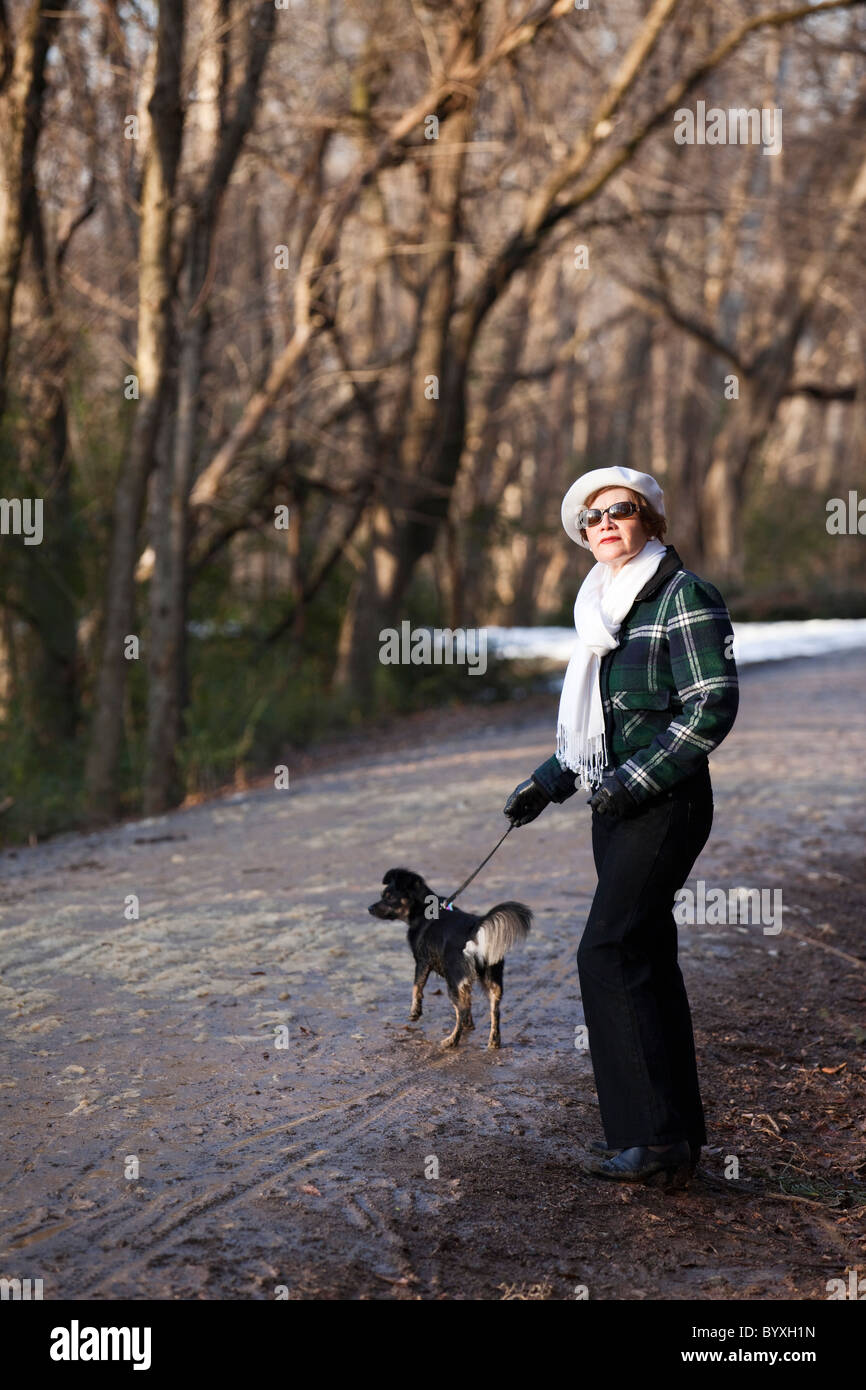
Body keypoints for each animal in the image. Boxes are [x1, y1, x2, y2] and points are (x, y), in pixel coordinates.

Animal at [366, 861, 530, 1045]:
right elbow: (469, 1002)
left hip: (453, 980)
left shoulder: (422, 962)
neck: (423, 910)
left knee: (461, 1010)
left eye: (389, 897)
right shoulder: (464, 983)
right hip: (492, 980)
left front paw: (415, 1012)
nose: (369, 908)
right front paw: (469, 1025)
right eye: (382, 895)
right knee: (494, 1010)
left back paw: (452, 1040)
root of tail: (474, 930)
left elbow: (416, 987)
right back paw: (493, 1042)